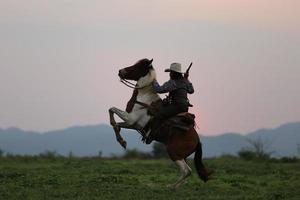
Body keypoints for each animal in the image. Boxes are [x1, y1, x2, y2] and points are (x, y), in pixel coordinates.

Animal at [109, 58, 212, 190]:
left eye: (137, 66)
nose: (120, 71)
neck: (143, 97)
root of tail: (197, 140)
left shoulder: (131, 119)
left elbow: (111, 109)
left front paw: (120, 137)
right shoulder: (133, 124)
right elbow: (117, 125)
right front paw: (122, 141)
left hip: (174, 152)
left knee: (186, 171)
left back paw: (171, 187)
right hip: (182, 156)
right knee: (186, 172)